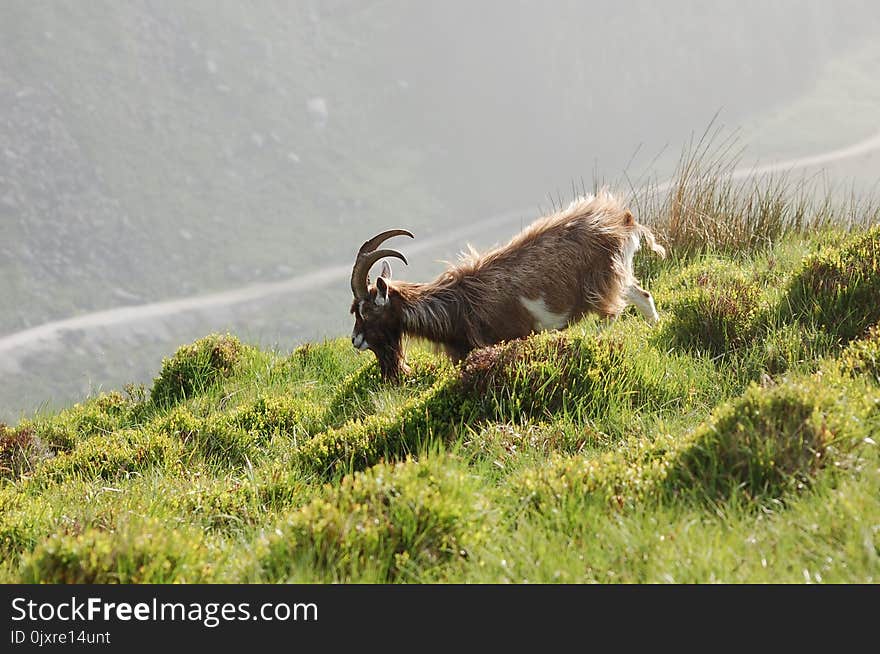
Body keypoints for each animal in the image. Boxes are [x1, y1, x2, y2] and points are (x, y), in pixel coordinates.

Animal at [348, 191, 664, 380]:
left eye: (365, 311)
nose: (355, 340)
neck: (455, 306)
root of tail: (622, 220)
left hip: (600, 283)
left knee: (611, 314)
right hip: (618, 274)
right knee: (643, 295)